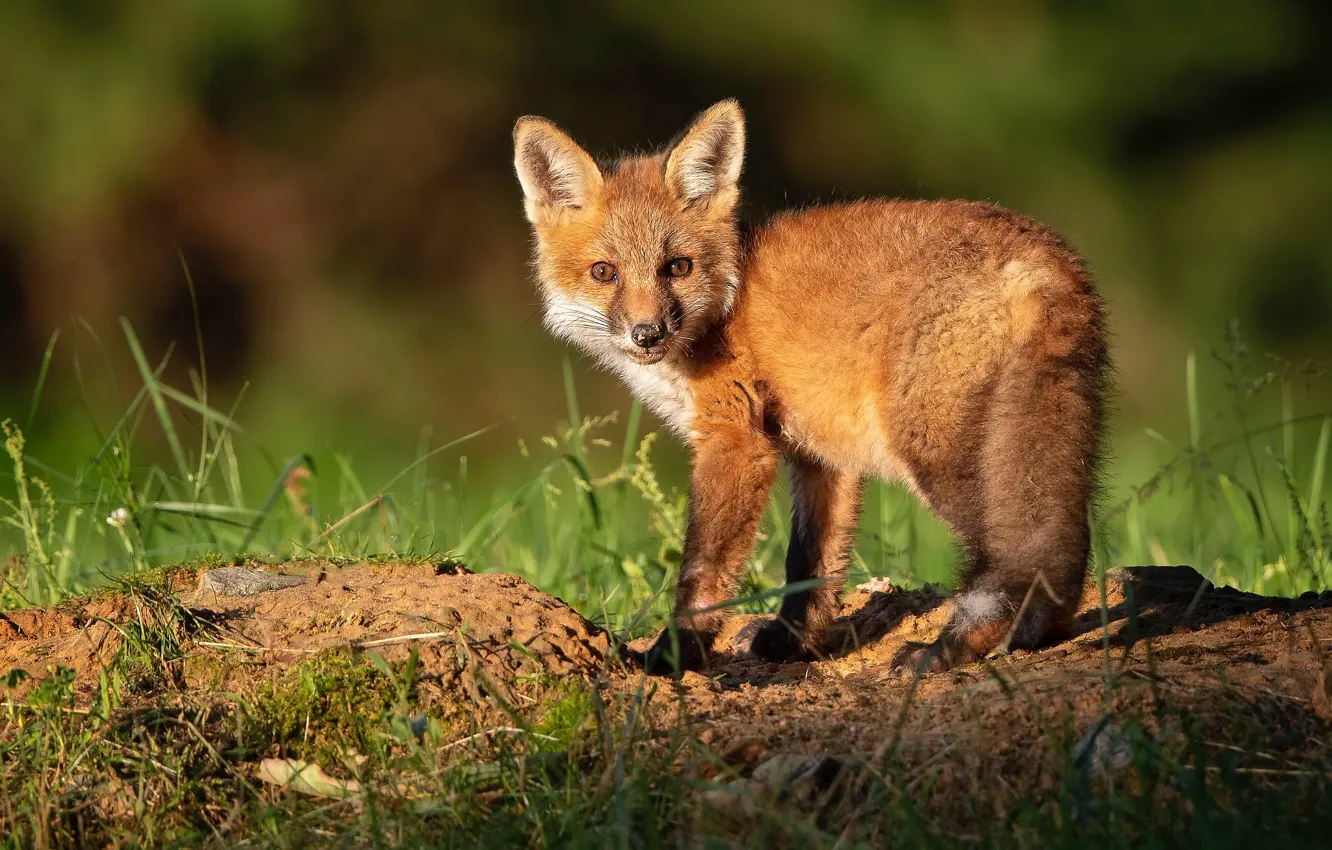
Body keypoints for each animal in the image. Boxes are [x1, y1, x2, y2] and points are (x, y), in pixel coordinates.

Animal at [513, 99, 1107, 676]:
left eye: (677, 267)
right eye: (604, 272)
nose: (648, 332)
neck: (726, 308)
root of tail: (1051, 258)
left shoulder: (736, 441)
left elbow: (703, 568)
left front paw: (675, 656)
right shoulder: (821, 453)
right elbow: (812, 561)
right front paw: (792, 644)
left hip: (941, 451)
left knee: (1024, 555)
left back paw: (955, 648)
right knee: (1068, 542)